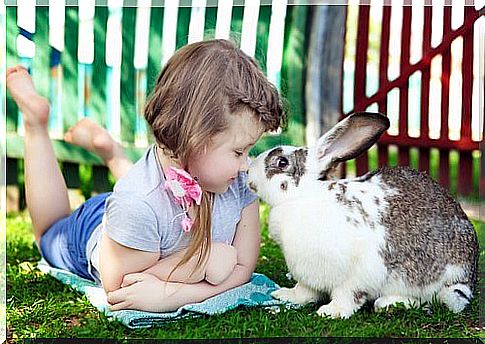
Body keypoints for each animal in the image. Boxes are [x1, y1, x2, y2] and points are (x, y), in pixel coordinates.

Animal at [248, 111, 478, 318]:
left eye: (282, 162)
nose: (249, 174)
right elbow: (304, 291)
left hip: (446, 286)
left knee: (434, 300)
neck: (300, 198)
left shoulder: (361, 272)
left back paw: (390, 303)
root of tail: (471, 274)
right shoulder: (308, 275)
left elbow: (348, 295)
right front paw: (284, 295)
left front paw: (331, 312)